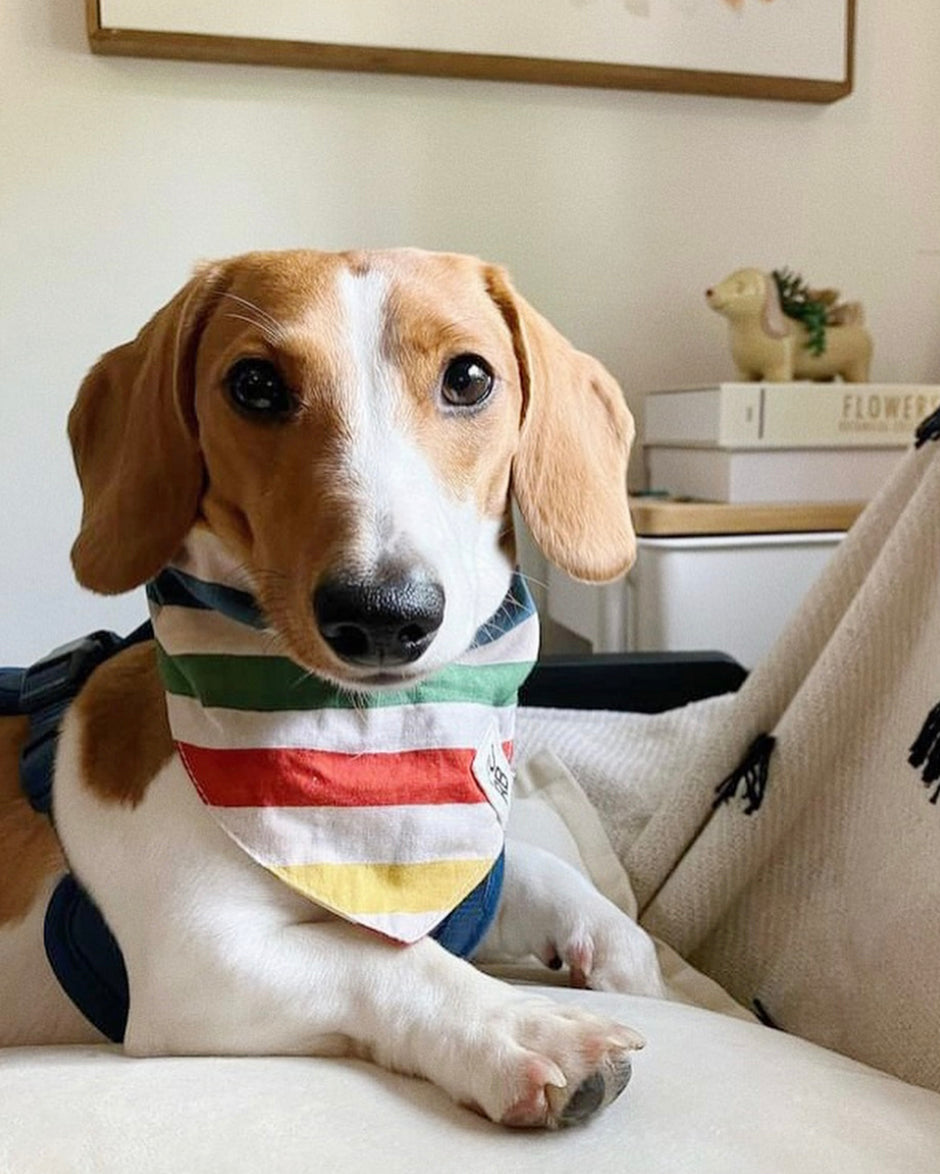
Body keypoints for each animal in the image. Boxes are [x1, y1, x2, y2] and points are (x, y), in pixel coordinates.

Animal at [0, 247, 661, 1127]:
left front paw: (629, 960)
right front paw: (521, 1025)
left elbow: (533, 873)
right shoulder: (197, 956)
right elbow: (386, 959)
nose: (383, 615)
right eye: (254, 384)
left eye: (469, 377)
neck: (367, 746)